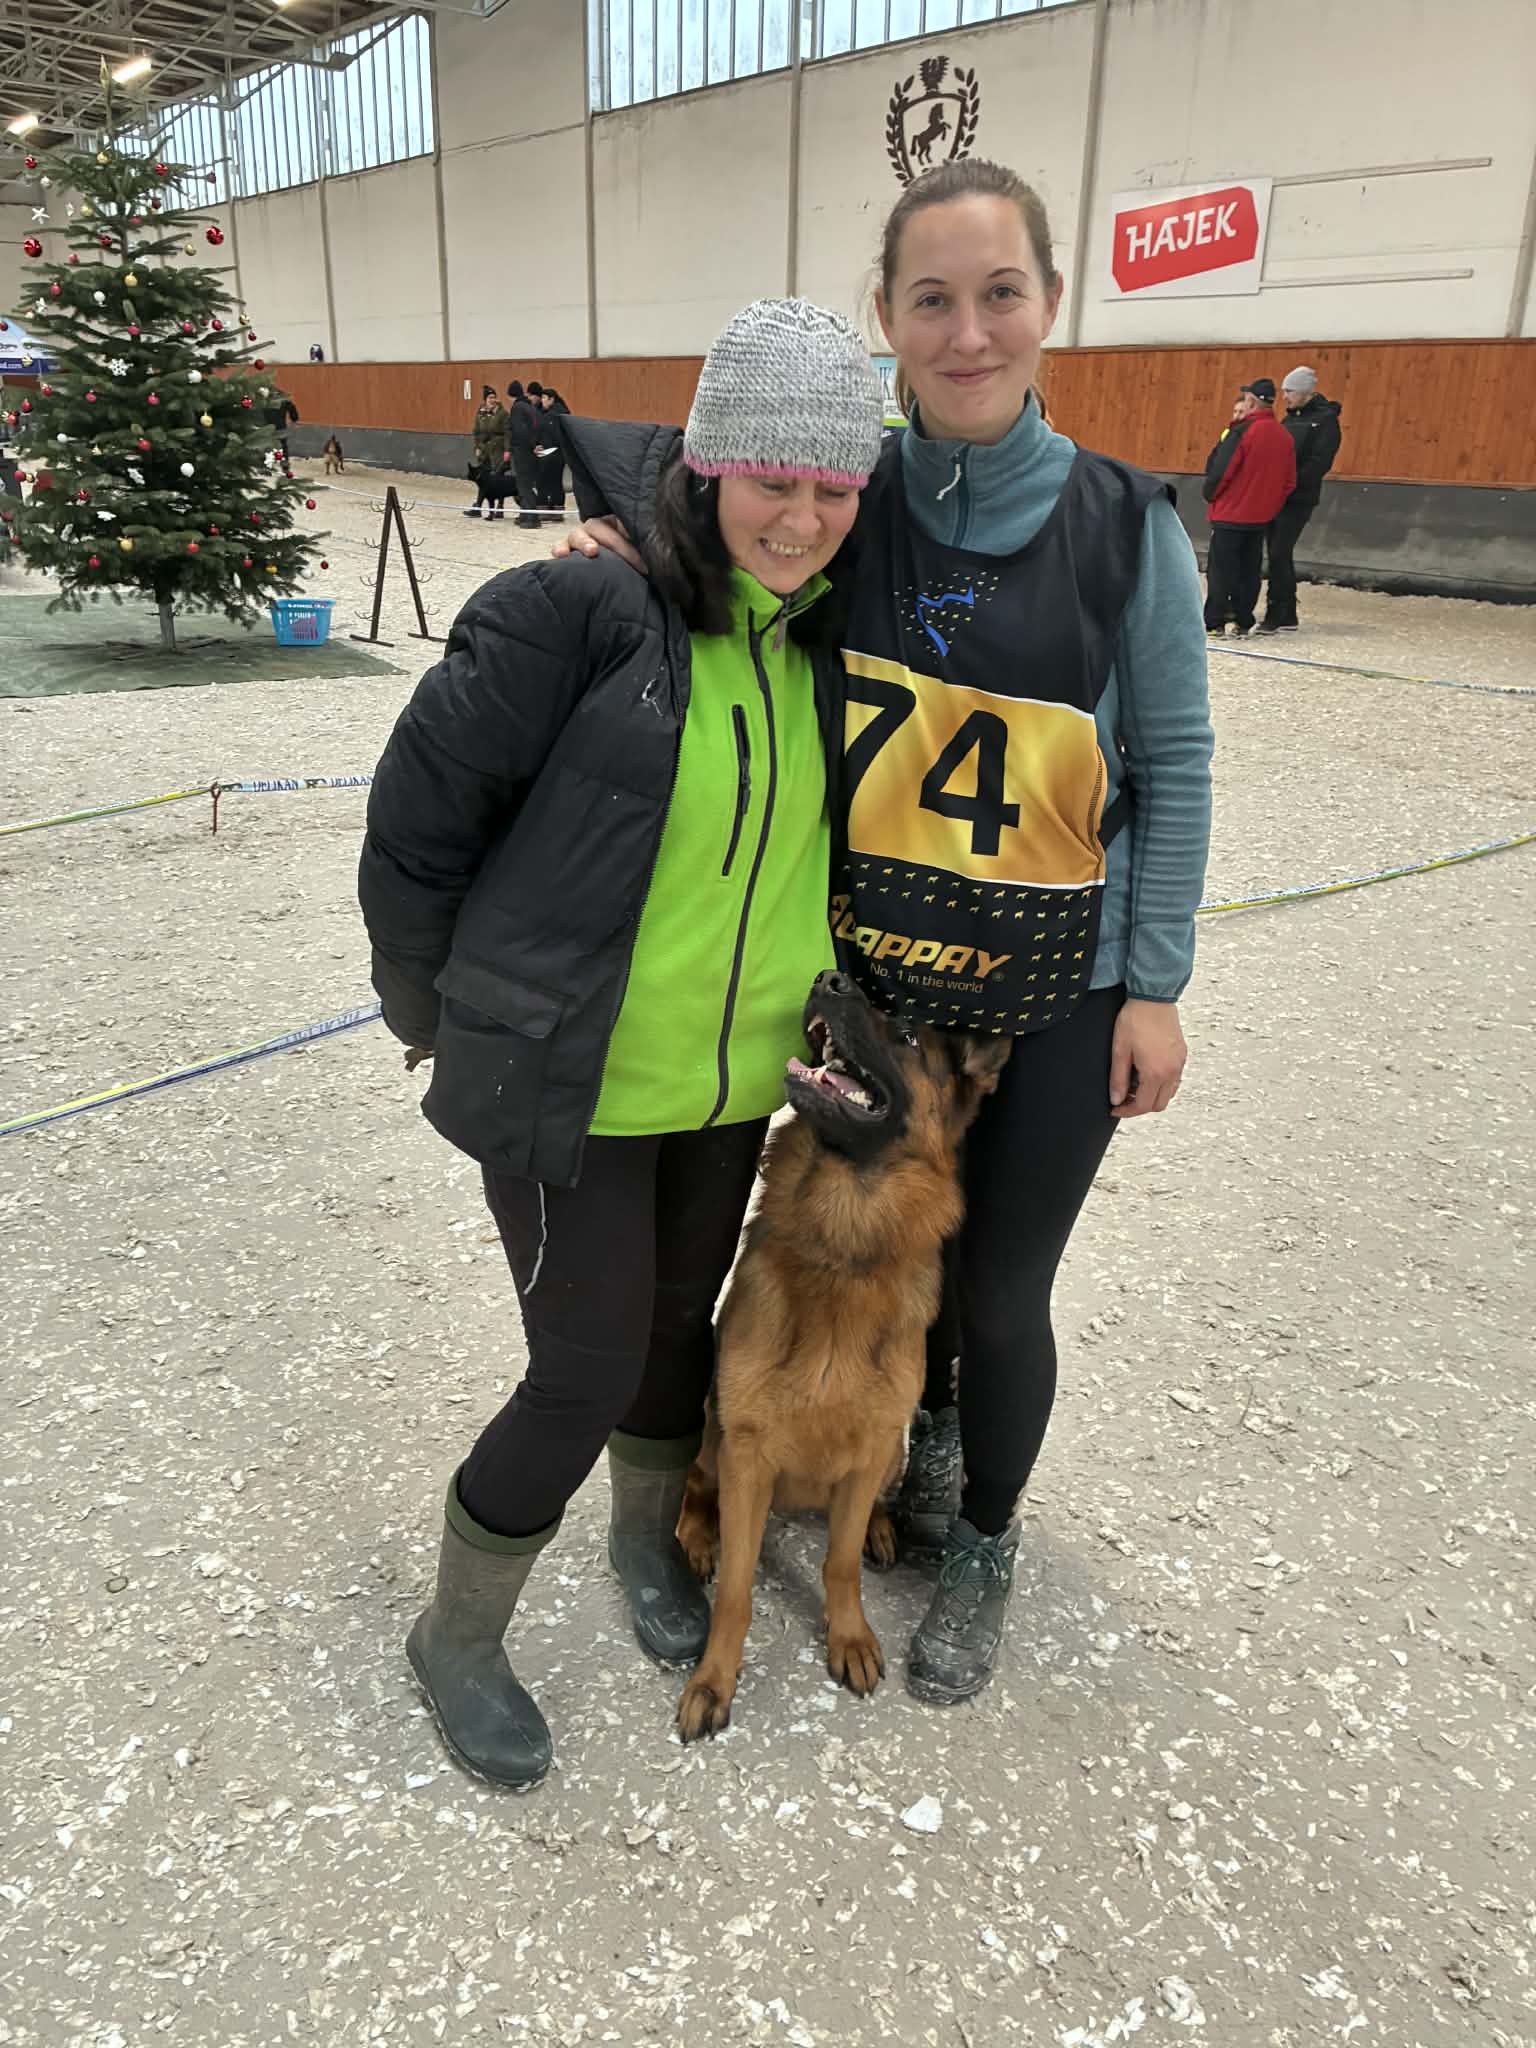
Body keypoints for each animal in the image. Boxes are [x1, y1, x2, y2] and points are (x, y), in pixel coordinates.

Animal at [674, 969, 1009, 1741]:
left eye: (908, 1034)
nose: (830, 977)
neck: (843, 1245)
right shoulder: (747, 1453)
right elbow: (737, 1590)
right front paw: (714, 1679)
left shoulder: (869, 1448)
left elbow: (841, 1564)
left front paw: (849, 1635)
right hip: (712, 1436)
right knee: (694, 1487)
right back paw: (697, 1537)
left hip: (887, 1453)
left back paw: (885, 1527)